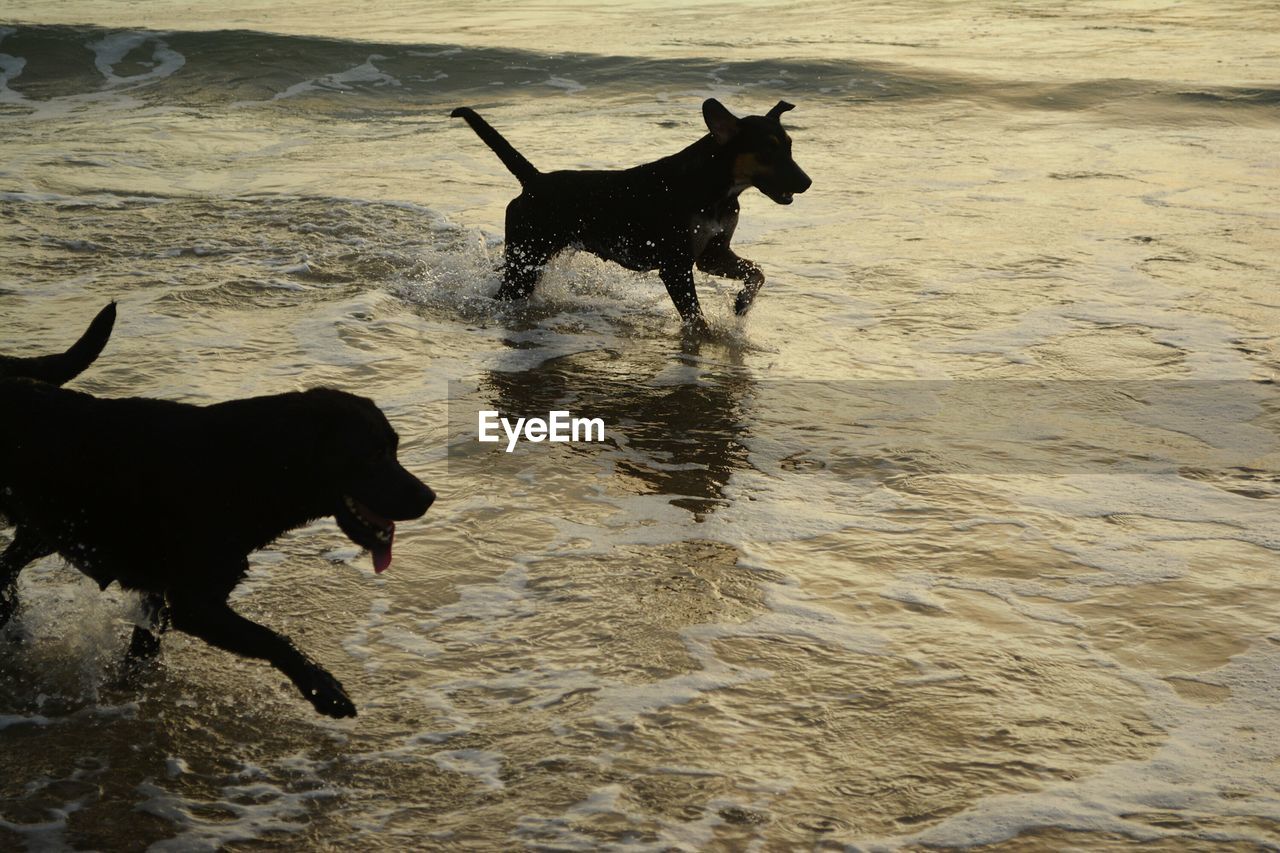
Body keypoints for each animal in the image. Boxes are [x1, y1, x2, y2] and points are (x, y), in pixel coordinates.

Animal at [1, 302, 435, 712]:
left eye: (395, 448)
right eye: (375, 454)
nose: (429, 496)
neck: (252, 464)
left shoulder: (161, 597)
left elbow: (142, 653)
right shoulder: (194, 602)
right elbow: (269, 638)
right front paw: (323, 688)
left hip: (46, 527)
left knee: (8, 565)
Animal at [453, 98, 808, 333]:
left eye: (790, 145)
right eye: (768, 150)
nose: (807, 182)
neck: (715, 186)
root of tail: (534, 180)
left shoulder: (713, 254)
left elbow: (757, 272)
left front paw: (742, 304)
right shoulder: (675, 264)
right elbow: (695, 314)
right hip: (527, 254)